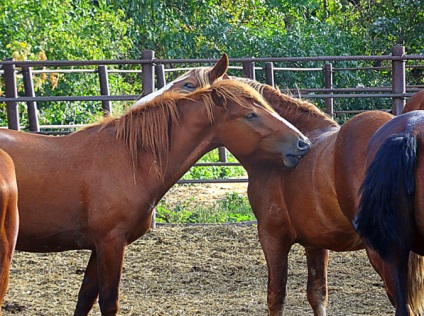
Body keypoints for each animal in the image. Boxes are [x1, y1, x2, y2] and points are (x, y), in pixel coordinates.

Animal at [0, 79, 312, 316]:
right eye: (250, 115)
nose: (303, 143)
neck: (129, 159)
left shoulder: (98, 247)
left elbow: (85, 299)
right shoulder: (111, 243)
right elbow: (108, 302)